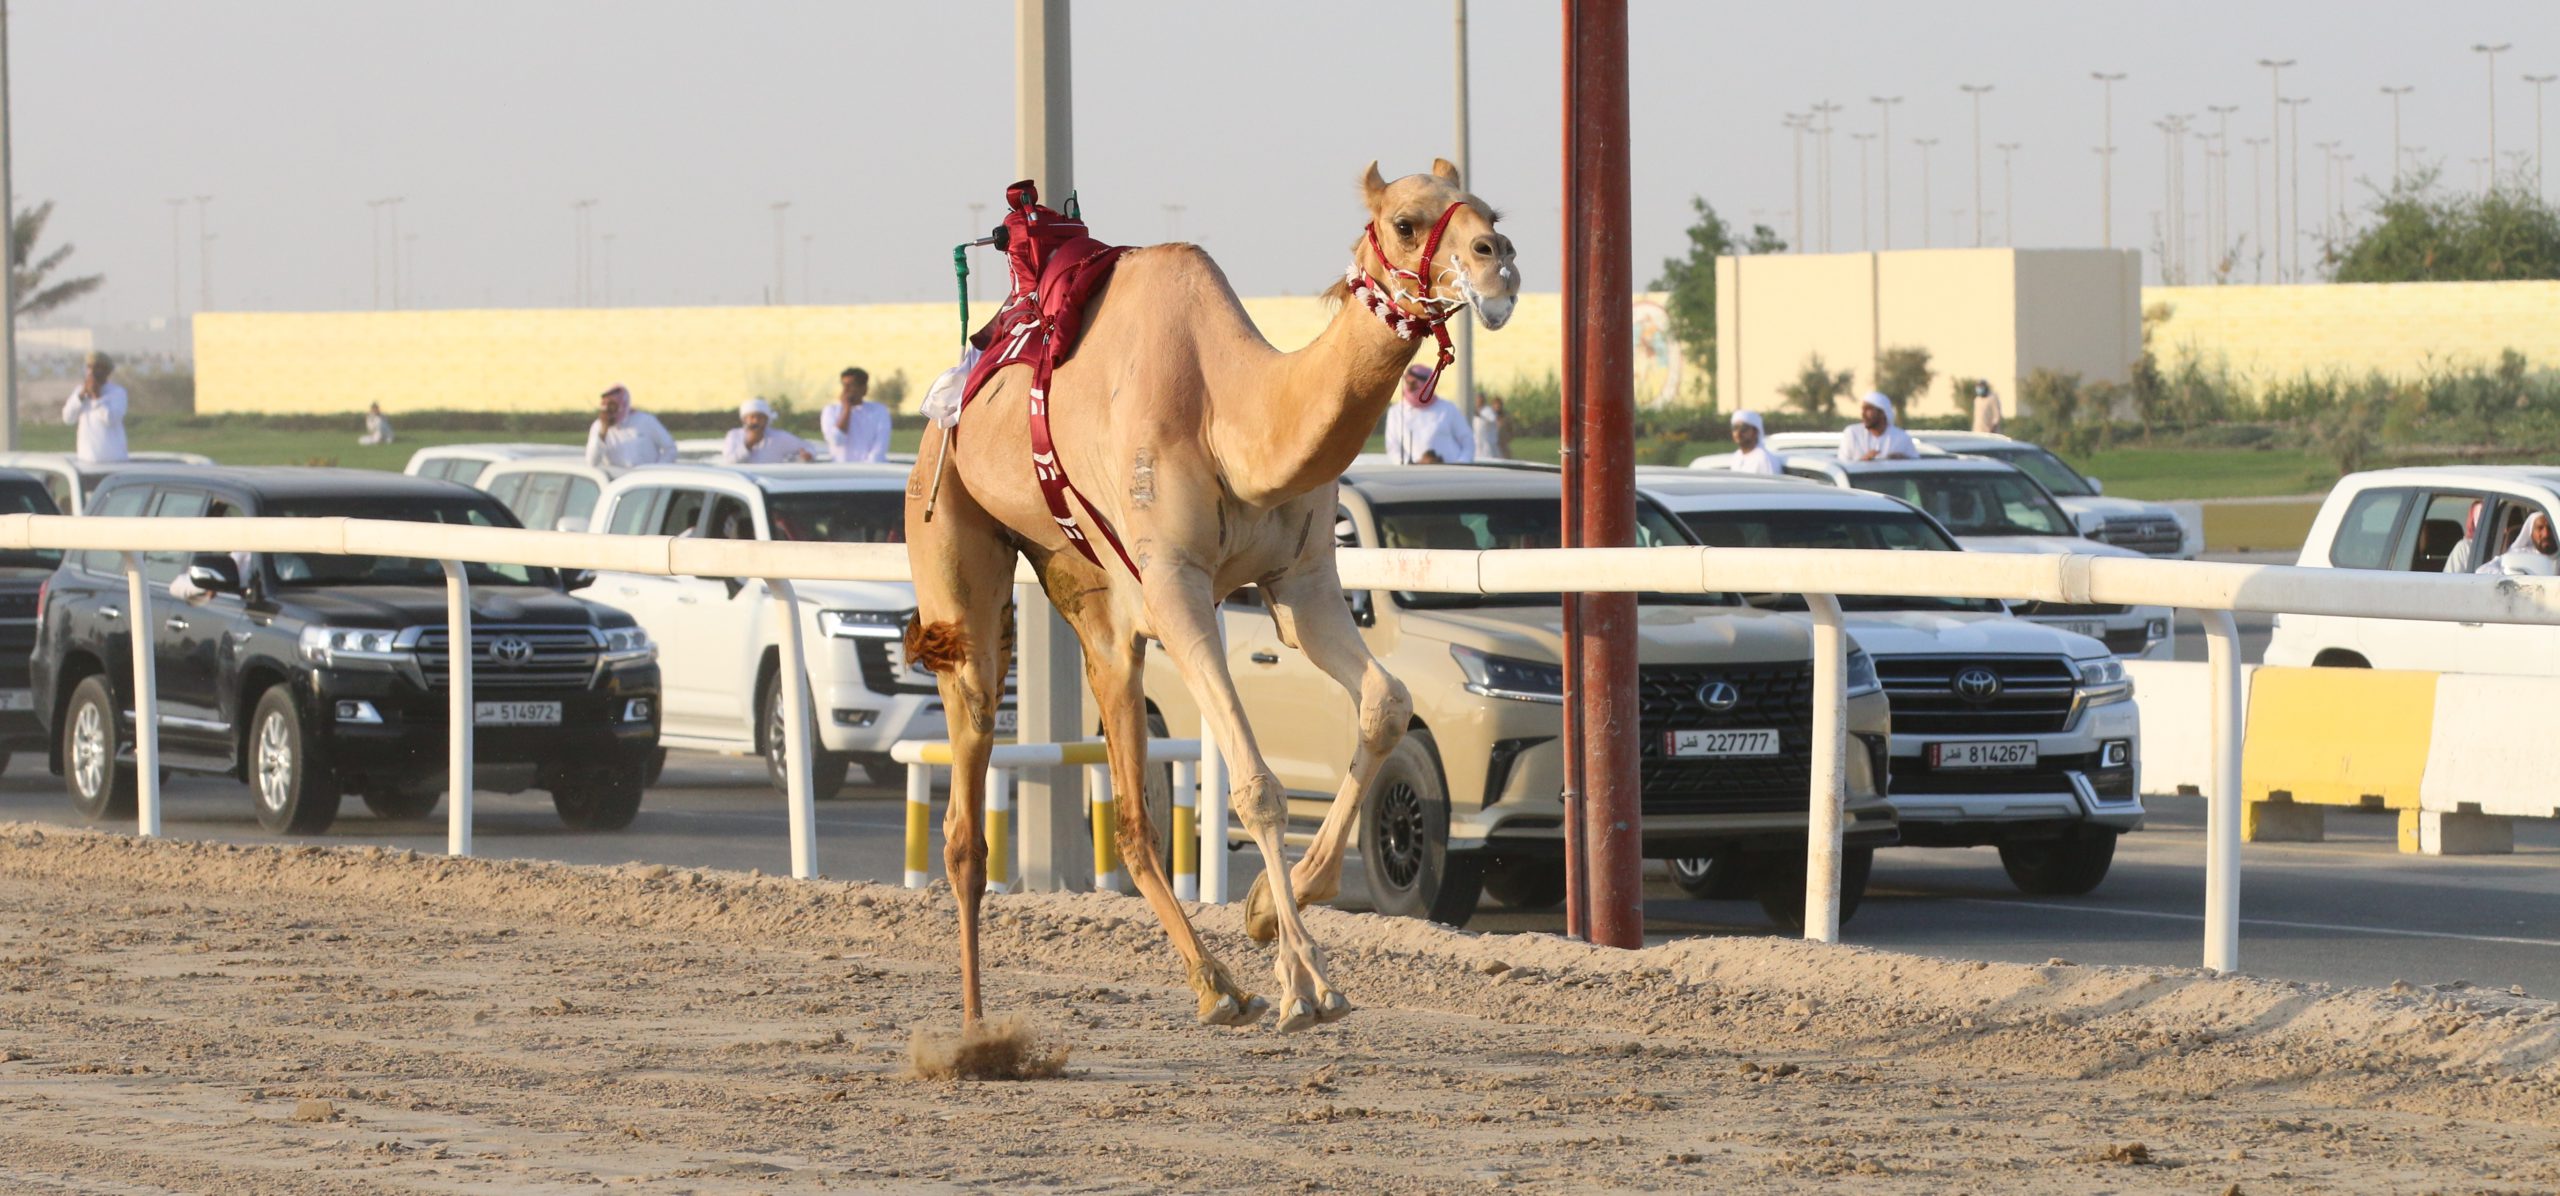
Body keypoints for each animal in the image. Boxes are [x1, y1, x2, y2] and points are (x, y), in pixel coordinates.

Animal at [901, 159, 1505, 1034]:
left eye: (1489, 211)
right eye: (1405, 222)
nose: (1499, 266)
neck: (1235, 414)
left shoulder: (1302, 582)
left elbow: (1386, 702)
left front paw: (1264, 911)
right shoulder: (1177, 585)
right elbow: (1256, 786)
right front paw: (1307, 984)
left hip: (1089, 594)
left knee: (1129, 809)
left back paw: (1215, 985)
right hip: (948, 533)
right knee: (967, 799)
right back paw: (978, 1029)